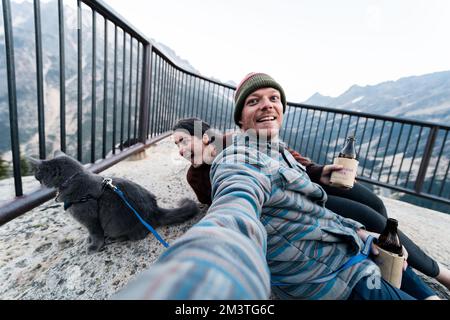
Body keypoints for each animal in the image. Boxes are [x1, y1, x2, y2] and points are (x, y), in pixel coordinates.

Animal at [29, 151, 200, 254]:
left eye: (38, 173)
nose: (35, 177)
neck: (73, 180)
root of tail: (155, 209)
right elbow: (91, 234)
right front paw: (88, 240)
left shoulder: (91, 219)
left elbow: (96, 234)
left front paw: (93, 247)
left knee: (138, 234)